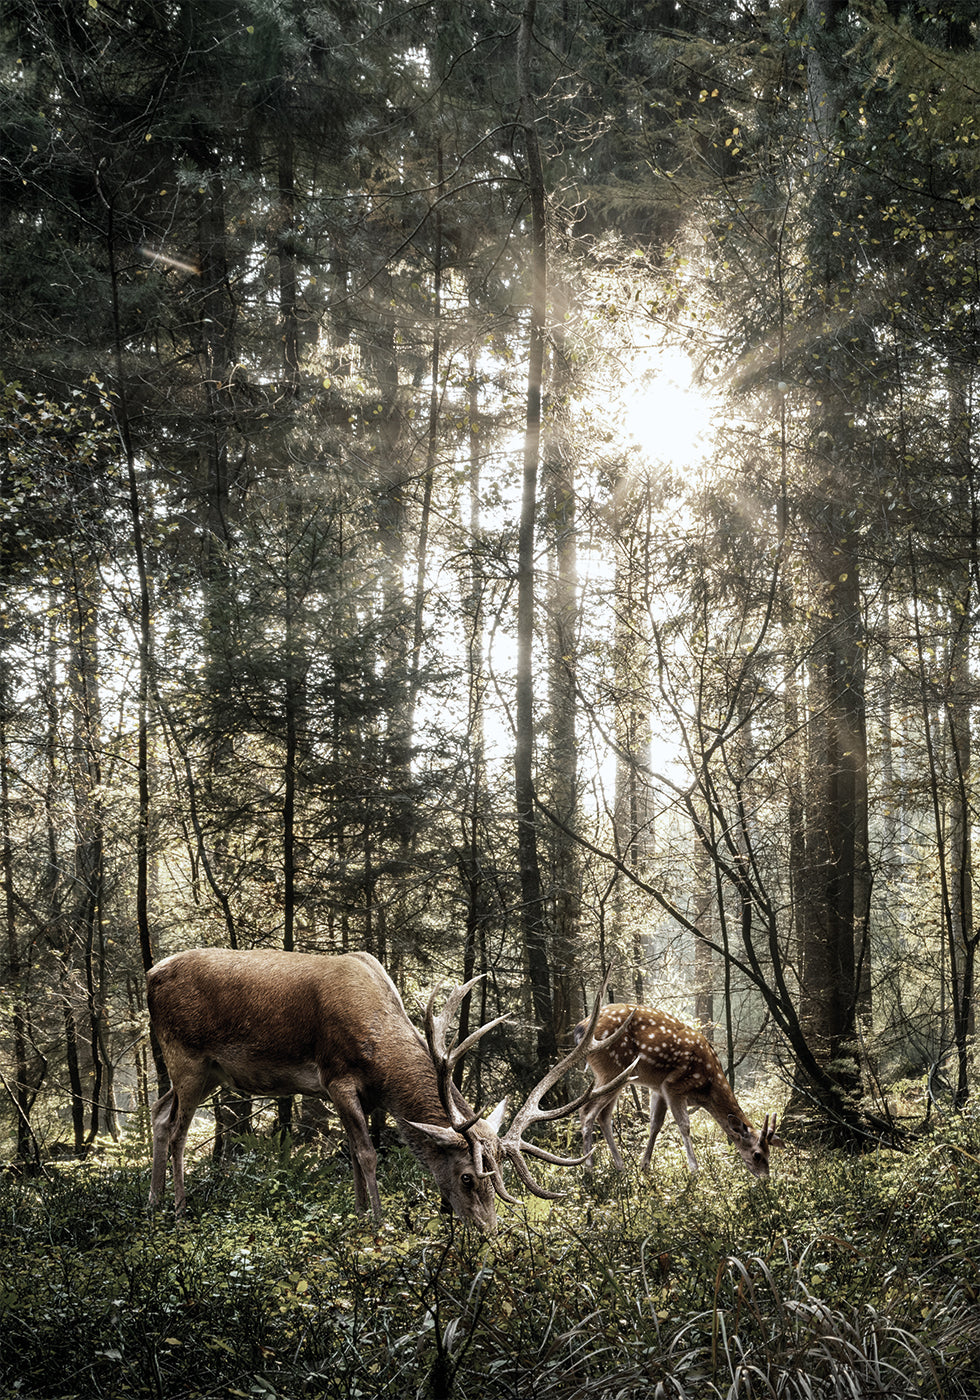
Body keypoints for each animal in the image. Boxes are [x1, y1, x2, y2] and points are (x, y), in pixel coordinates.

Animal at [145, 946, 635, 1232]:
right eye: (468, 1176)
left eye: (499, 1179)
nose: (488, 1233)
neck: (379, 1052)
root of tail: (151, 974)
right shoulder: (336, 1077)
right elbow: (366, 1153)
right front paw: (378, 1226)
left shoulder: (353, 1094)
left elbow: (351, 1154)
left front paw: (359, 1216)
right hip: (186, 1056)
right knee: (178, 1130)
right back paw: (180, 1209)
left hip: (203, 1072)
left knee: (158, 1112)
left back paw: (153, 1203)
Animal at [571, 1002, 784, 1187]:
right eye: (757, 1154)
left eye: (770, 1152)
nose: (766, 1178)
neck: (707, 1088)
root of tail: (580, 1029)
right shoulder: (673, 1085)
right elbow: (684, 1125)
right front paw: (695, 1170)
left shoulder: (659, 1089)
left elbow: (655, 1125)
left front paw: (644, 1166)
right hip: (612, 1069)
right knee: (586, 1111)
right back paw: (589, 1169)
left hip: (616, 1076)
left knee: (604, 1115)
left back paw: (620, 1166)